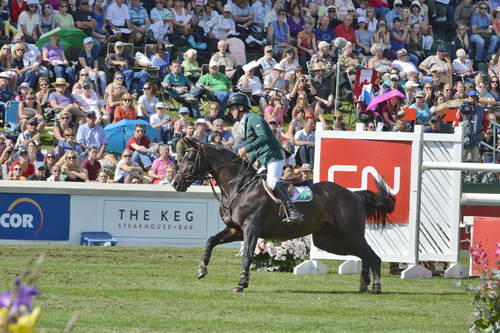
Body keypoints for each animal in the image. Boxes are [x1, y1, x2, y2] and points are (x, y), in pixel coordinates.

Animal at [172, 139, 394, 292]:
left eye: (189, 159)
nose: (175, 183)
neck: (239, 186)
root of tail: (354, 195)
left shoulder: (251, 230)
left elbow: (247, 255)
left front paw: (241, 283)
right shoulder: (236, 230)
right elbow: (210, 240)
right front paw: (202, 269)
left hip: (349, 235)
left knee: (372, 255)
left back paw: (375, 287)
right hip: (329, 241)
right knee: (363, 254)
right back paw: (364, 284)